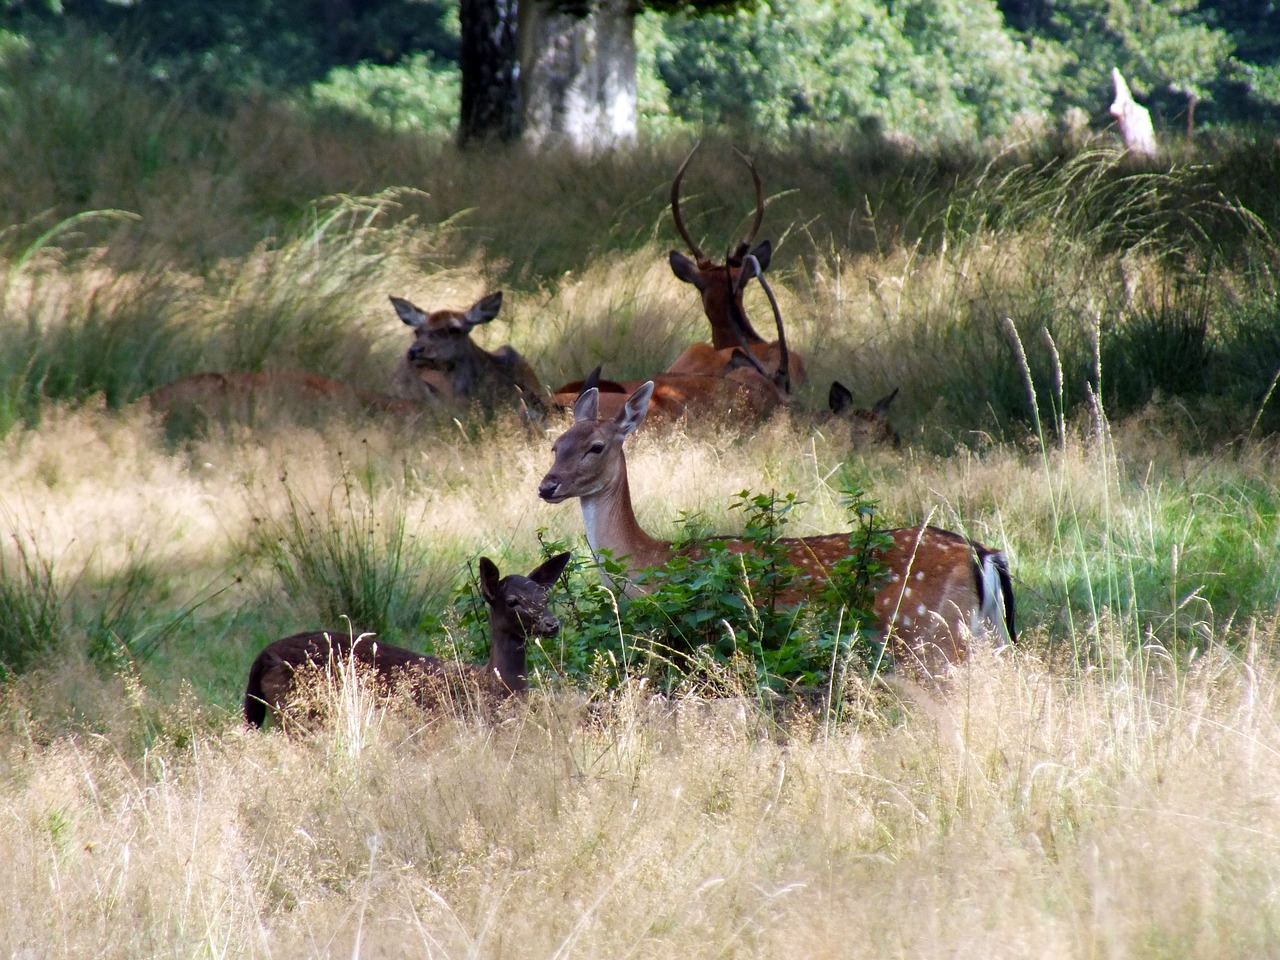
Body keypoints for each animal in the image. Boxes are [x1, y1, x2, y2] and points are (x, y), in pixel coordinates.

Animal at [243, 552, 570, 732]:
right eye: (512, 601)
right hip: (297, 709)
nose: (552, 624)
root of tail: (262, 657)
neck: (494, 684)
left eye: (545, 595)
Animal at [535, 378, 1013, 670]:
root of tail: (982, 555)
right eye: (556, 445)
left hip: (930, 633)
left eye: (596, 447)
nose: (547, 485)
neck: (649, 565)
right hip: (987, 633)